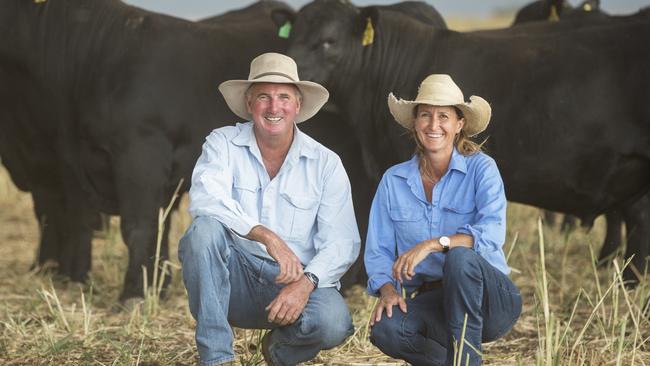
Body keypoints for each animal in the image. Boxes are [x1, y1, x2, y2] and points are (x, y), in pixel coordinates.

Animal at [0, 0, 292, 300]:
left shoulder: (140, 155)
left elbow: (138, 225)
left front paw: (135, 292)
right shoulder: (70, 158)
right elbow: (77, 220)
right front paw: (76, 281)